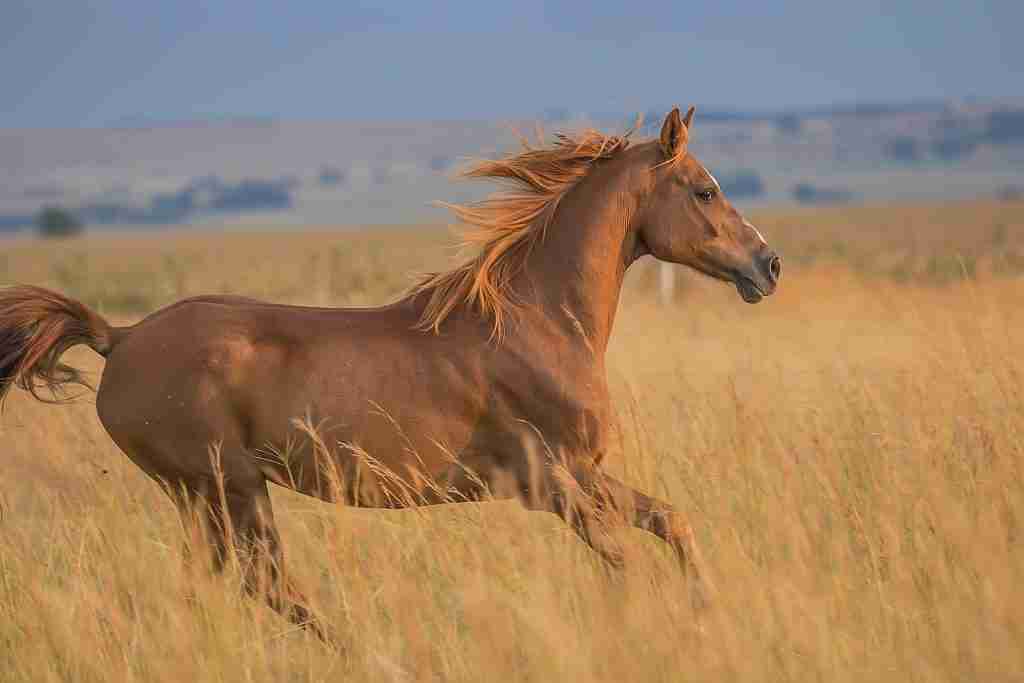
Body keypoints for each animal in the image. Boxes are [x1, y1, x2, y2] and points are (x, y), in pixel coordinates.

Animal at [0, 108, 778, 643]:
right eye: (704, 191)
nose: (767, 265)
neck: (538, 320)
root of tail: (120, 338)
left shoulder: (585, 473)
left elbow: (671, 521)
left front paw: (707, 609)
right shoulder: (549, 482)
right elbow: (620, 559)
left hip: (207, 497)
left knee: (227, 584)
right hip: (226, 486)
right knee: (268, 583)